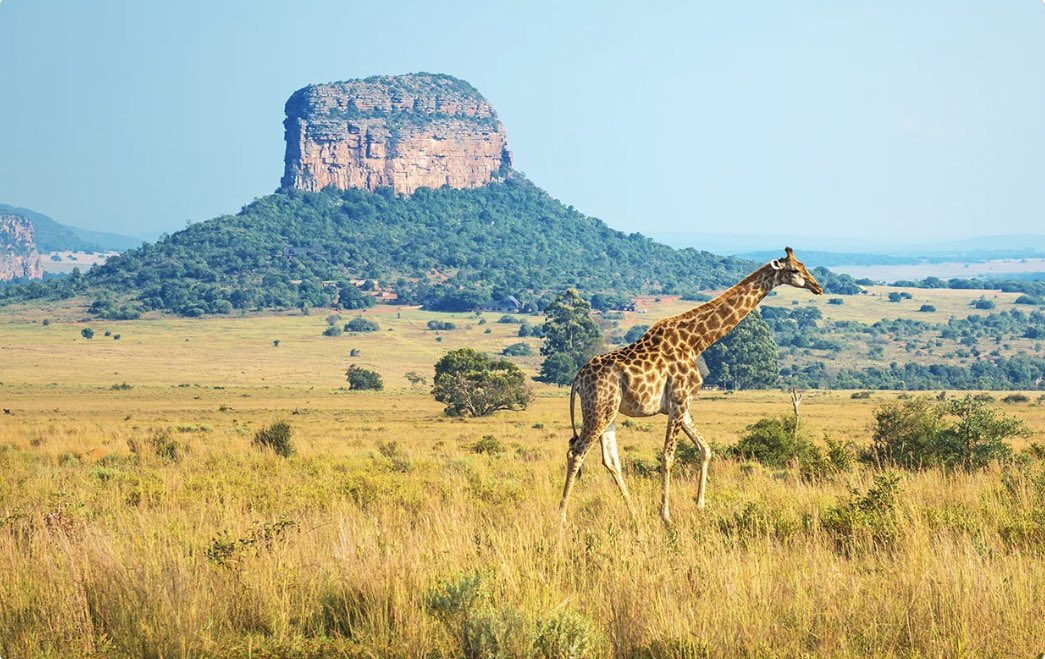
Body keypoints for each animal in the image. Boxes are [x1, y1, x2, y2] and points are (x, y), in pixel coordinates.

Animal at [558, 247, 823, 526]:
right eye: (794, 270)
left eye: (803, 265)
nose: (817, 287)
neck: (696, 342)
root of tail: (578, 378)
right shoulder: (679, 400)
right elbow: (668, 456)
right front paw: (665, 515)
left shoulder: (682, 406)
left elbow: (705, 449)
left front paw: (700, 505)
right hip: (599, 409)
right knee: (576, 452)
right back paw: (562, 515)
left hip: (609, 412)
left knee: (610, 460)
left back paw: (634, 513)